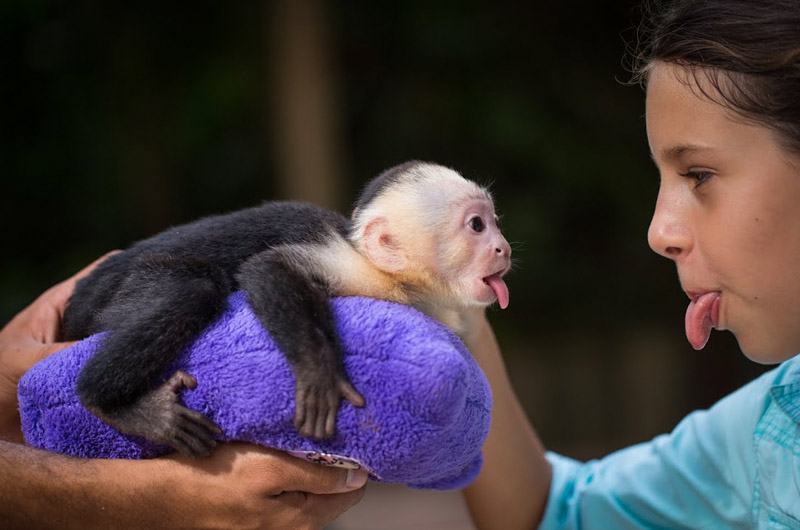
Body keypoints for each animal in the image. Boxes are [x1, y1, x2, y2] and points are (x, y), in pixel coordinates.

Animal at [61, 161, 512, 457]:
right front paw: (319, 371)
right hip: (123, 290)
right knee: (192, 289)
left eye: (495, 220)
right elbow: (269, 268)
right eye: (476, 226)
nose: (503, 247)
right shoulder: (359, 272)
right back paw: (111, 403)